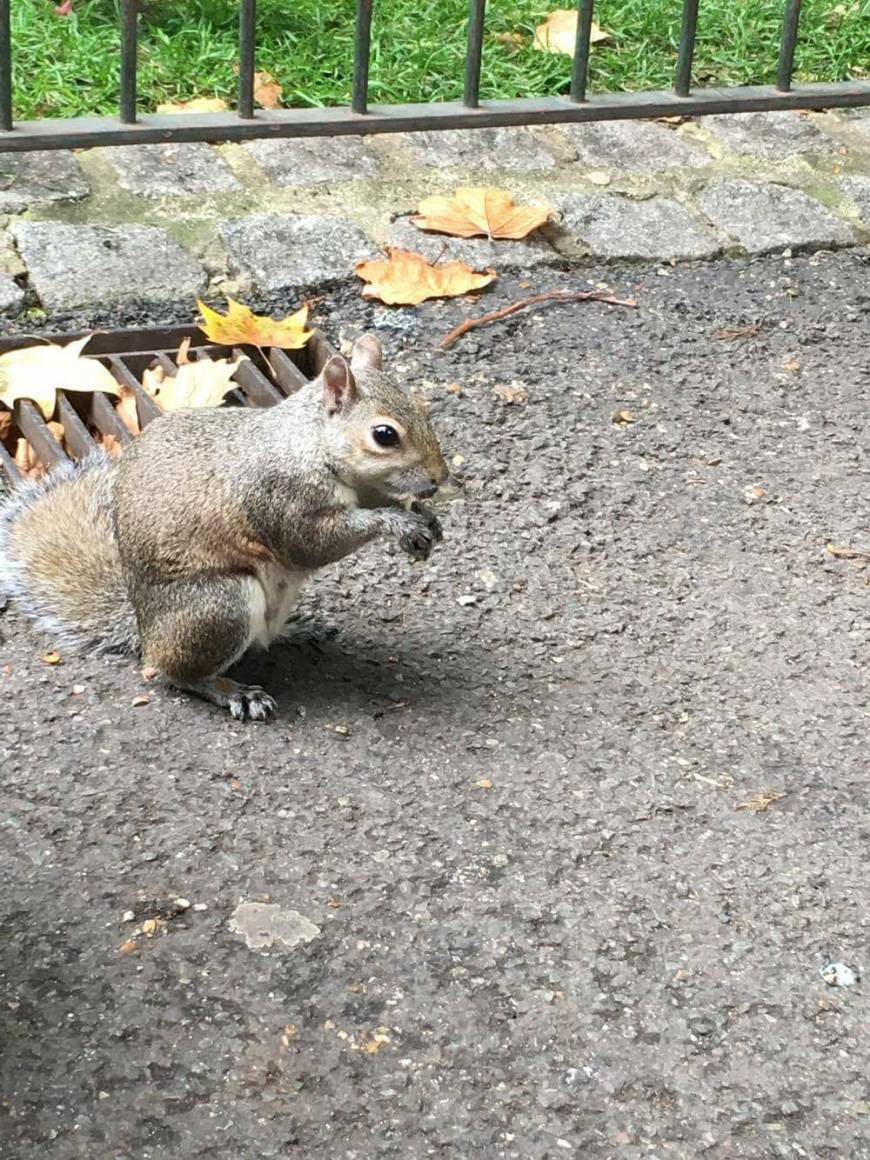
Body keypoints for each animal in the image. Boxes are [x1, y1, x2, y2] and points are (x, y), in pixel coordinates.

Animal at [0, 331, 450, 719]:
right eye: (384, 435)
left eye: (424, 410)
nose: (440, 478)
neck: (312, 444)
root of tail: (145, 629)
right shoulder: (279, 498)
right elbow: (313, 544)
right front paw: (397, 523)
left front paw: (425, 518)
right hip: (220, 605)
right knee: (174, 671)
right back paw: (232, 690)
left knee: (262, 639)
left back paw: (296, 629)